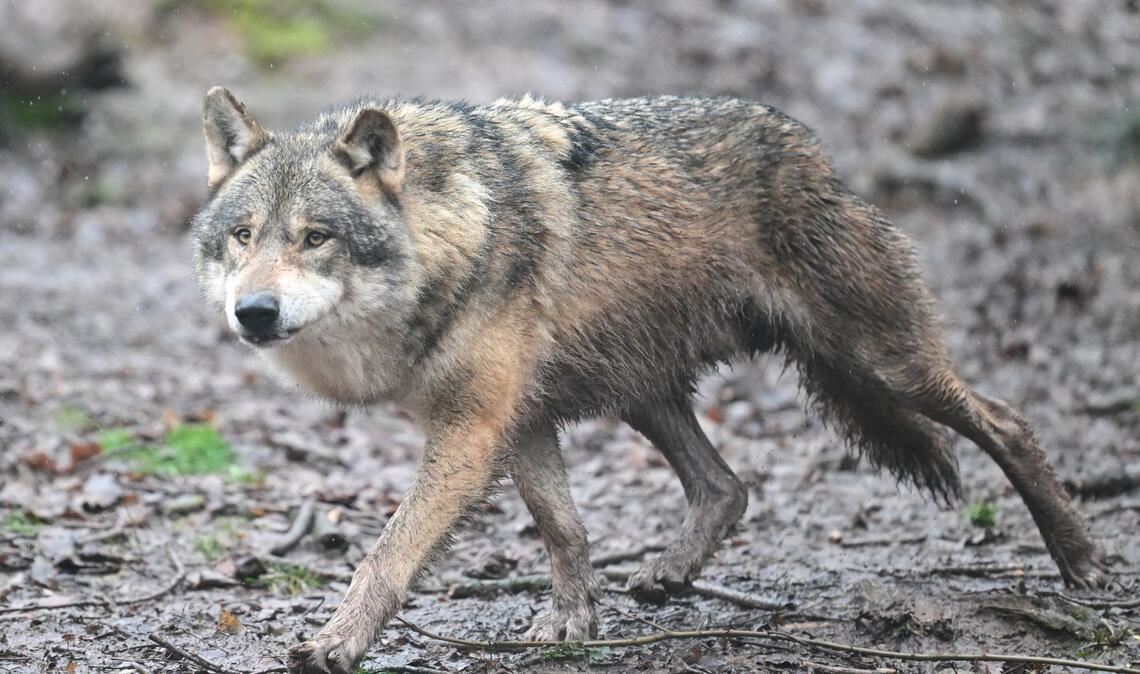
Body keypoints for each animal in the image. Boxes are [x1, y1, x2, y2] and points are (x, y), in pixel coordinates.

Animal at [191, 87, 1108, 673]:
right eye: (243, 235)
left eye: (315, 238)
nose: (254, 312)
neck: (452, 233)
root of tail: (815, 151)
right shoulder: (519, 420)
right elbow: (564, 529)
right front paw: (572, 622)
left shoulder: (472, 428)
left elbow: (387, 554)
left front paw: (336, 643)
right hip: (644, 391)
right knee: (727, 485)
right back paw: (669, 573)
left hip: (882, 363)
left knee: (1007, 420)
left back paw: (1081, 564)